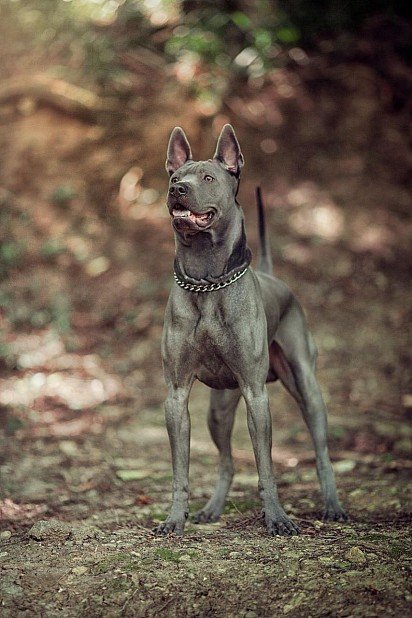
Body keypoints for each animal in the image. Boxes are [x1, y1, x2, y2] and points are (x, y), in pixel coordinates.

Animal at [154, 125, 348, 536]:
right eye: (176, 178)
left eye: (208, 178)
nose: (178, 190)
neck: (207, 281)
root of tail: (274, 277)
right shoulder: (176, 396)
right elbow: (180, 470)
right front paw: (175, 519)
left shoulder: (256, 394)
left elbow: (266, 466)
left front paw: (277, 518)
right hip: (219, 409)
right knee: (227, 460)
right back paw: (212, 508)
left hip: (307, 389)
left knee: (322, 452)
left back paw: (333, 506)